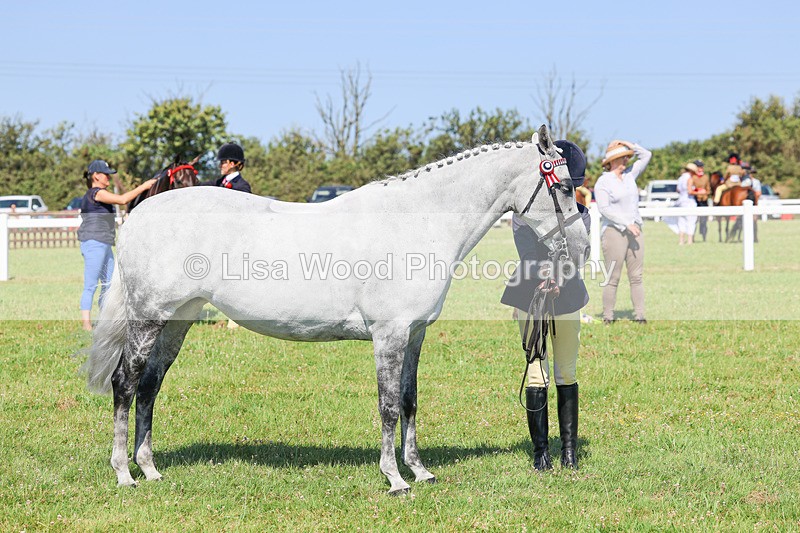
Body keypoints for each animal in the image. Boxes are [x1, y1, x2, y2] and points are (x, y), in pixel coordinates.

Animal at [81, 125, 589, 494]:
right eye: (564, 187)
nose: (582, 248)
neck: (417, 221)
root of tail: (139, 214)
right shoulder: (389, 335)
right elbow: (388, 405)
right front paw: (395, 479)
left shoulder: (415, 334)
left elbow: (410, 401)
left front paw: (420, 471)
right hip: (149, 318)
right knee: (126, 384)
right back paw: (124, 473)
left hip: (177, 321)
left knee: (150, 386)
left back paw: (150, 469)